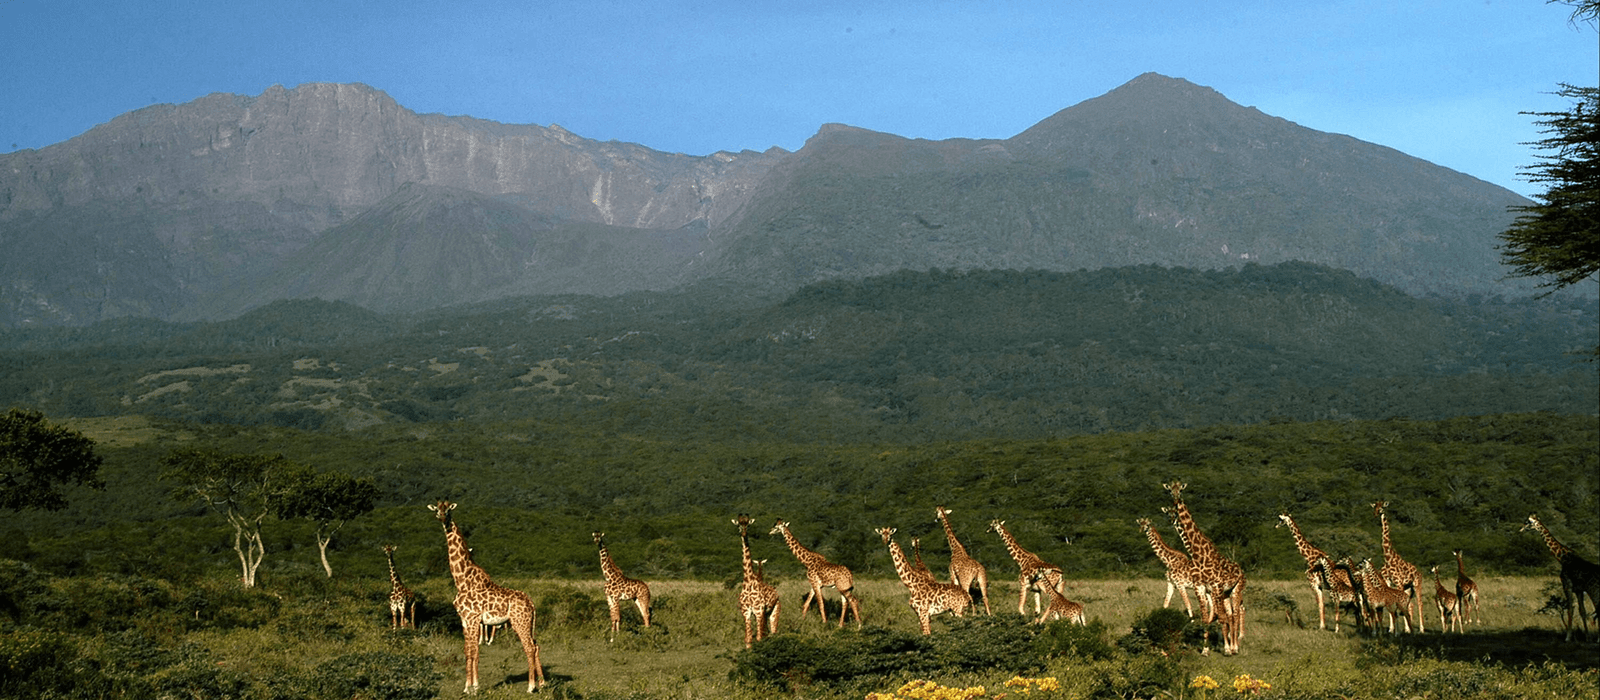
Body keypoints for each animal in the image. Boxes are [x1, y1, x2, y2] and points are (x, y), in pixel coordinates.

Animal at [428, 501, 547, 690]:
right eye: (437, 508)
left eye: (449, 509)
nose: (441, 516)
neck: (461, 580)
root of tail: (531, 603)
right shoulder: (465, 620)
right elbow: (467, 651)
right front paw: (467, 687)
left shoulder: (473, 618)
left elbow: (474, 650)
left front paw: (474, 687)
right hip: (528, 623)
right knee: (536, 645)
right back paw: (542, 683)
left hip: (519, 622)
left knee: (529, 648)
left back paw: (531, 687)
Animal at [732, 511, 777, 648]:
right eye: (739, 525)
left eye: (748, 525)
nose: (744, 534)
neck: (748, 581)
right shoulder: (746, 612)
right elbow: (748, 639)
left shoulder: (758, 610)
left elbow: (758, 637)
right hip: (765, 613)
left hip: (773, 610)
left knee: (773, 631)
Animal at [1164, 482, 1248, 655]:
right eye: (1169, 491)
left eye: (1180, 490)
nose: (1175, 502)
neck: (1198, 554)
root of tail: (1241, 570)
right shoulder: (1201, 588)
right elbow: (1205, 618)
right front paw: (1205, 649)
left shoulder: (1215, 587)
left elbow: (1220, 617)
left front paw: (1226, 649)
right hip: (1225, 593)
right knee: (1231, 615)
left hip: (1236, 590)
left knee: (1236, 613)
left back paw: (1235, 647)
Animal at [1369, 501, 1433, 632]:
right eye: (1375, 507)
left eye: (1382, 507)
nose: (1375, 514)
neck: (1388, 558)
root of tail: (1419, 572)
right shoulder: (1388, 581)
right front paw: (1391, 629)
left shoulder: (1399, 582)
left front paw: (1402, 628)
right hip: (1408, 588)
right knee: (1410, 603)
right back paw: (1409, 627)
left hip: (1417, 584)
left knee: (1419, 603)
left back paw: (1421, 629)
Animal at [1516, 511, 1593, 642]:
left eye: (1528, 522)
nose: (1521, 529)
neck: (1562, 558)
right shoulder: (1578, 590)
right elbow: (1582, 611)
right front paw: (1587, 637)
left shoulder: (1567, 585)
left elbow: (1571, 610)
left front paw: (1568, 637)